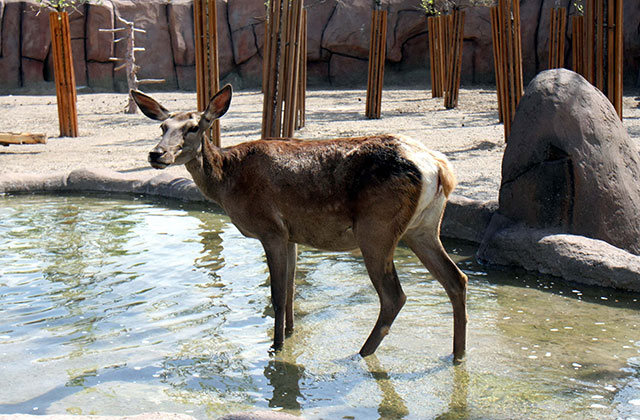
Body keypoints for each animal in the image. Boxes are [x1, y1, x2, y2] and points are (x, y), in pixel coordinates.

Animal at [131, 84, 470, 360]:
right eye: (162, 126)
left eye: (193, 127)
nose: (156, 154)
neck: (228, 181)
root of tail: (439, 167)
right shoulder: (292, 234)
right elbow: (293, 290)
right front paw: (291, 335)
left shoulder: (271, 229)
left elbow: (277, 295)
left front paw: (276, 347)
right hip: (423, 227)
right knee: (456, 279)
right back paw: (458, 355)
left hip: (377, 228)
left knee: (394, 296)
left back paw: (360, 354)